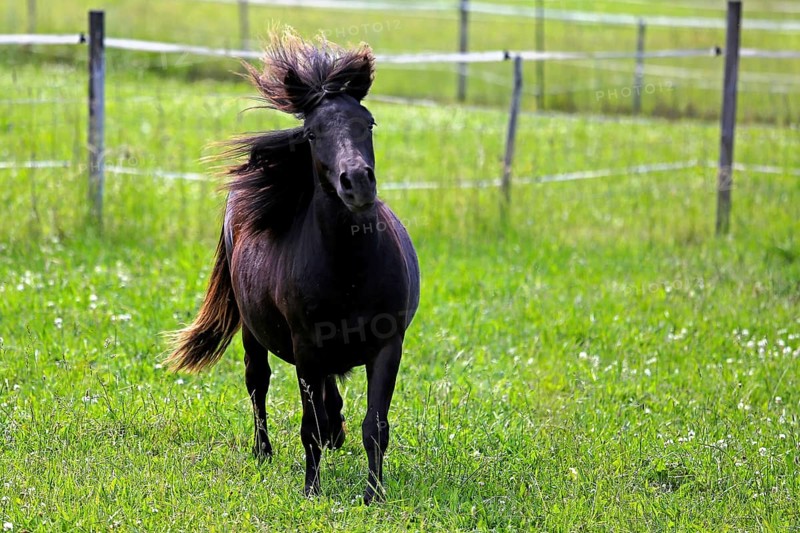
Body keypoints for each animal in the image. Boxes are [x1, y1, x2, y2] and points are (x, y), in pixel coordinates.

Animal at [166, 31, 420, 505]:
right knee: (258, 383)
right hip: (253, 333)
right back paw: (263, 452)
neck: (350, 272)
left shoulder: (387, 346)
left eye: (368, 122)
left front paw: (374, 495)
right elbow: (309, 426)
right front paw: (311, 490)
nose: (357, 183)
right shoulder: (306, 349)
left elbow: (374, 426)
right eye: (312, 132)